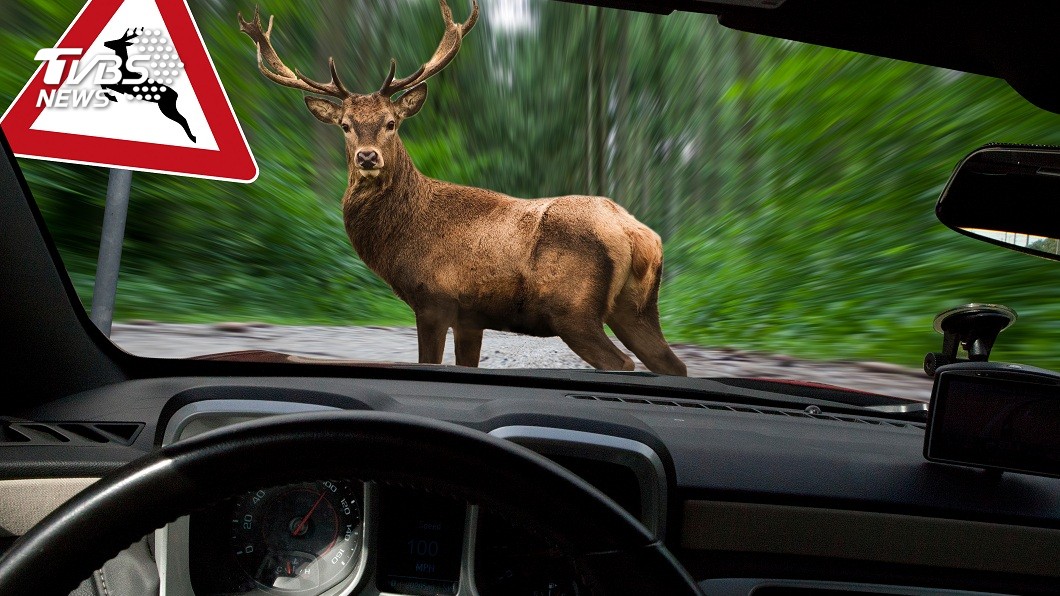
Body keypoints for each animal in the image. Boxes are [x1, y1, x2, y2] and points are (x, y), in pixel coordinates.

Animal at [238, 0, 687, 376]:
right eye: (345, 125)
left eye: (391, 123)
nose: (367, 157)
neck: (401, 238)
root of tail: (637, 234)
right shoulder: (471, 318)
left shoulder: (434, 300)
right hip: (636, 308)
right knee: (671, 363)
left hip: (572, 308)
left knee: (622, 362)